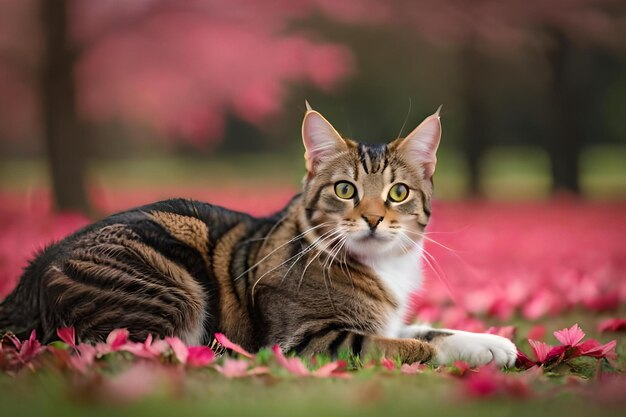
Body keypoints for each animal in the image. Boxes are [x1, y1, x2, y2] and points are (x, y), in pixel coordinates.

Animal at [0, 102, 516, 366]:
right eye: (345, 189)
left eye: (398, 192)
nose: (372, 219)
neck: (381, 266)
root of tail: (26, 281)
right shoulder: (308, 341)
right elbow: (402, 345)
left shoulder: (383, 319)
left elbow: (425, 328)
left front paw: (488, 342)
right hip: (172, 288)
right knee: (122, 348)